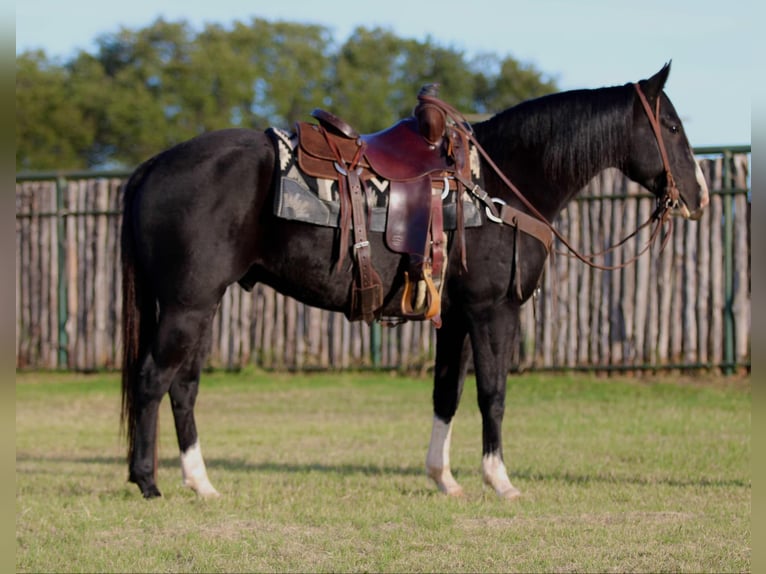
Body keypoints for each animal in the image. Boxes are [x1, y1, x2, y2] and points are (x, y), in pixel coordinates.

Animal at [120, 64, 708, 500]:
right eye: (673, 128)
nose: (699, 196)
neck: (499, 189)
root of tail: (152, 166)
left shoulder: (456, 317)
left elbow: (447, 393)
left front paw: (443, 478)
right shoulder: (494, 311)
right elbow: (493, 393)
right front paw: (500, 480)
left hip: (202, 305)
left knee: (183, 386)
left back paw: (200, 482)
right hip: (188, 305)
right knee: (153, 379)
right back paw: (147, 482)